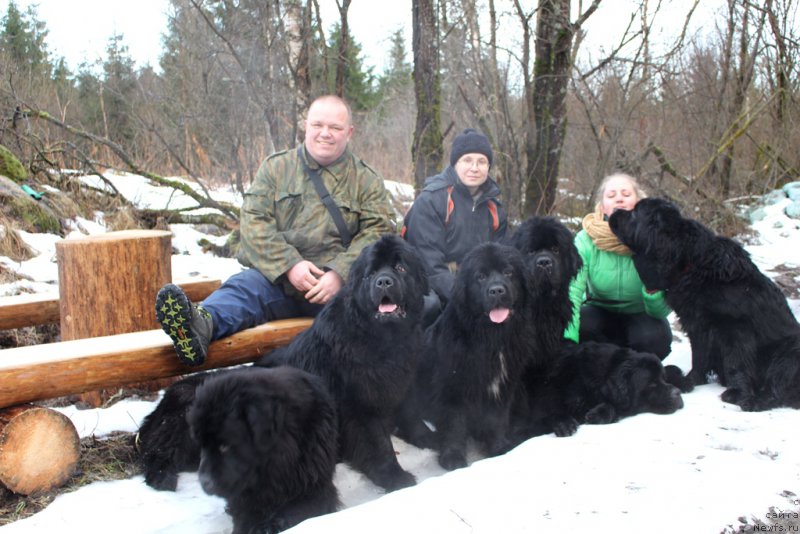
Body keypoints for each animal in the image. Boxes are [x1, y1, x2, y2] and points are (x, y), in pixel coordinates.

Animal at [138, 368, 338, 534]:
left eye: (226, 446)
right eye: (203, 445)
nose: (205, 483)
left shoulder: (316, 485)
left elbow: (295, 510)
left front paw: (269, 525)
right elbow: (245, 514)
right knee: (157, 452)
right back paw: (163, 478)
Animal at [260, 234, 428, 494]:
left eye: (400, 268)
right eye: (371, 273)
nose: (383, 282)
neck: (384, 340)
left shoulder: (403, 380)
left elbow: (412, 413)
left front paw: (429, 437)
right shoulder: (358, 402)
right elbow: (378, 441)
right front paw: (394, 476)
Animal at [412, 244, 536, 474]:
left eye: (508, 272)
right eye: (480, 276)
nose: (497, 290)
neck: (492, 338)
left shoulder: (503, 385)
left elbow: (496, 419)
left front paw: (499, 448)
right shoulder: (453, 386)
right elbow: (454, 423)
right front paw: (453, 458)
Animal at [608, 199, 800, 412]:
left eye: (635, 212)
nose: (614, 211)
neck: (690, 264)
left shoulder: (735, 328)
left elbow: (736, 362)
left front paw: (737, 392)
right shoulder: (697, 325)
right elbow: (699, 356)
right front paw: (691, 380)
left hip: (789, 351)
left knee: (777, 386)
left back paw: (754, 401)